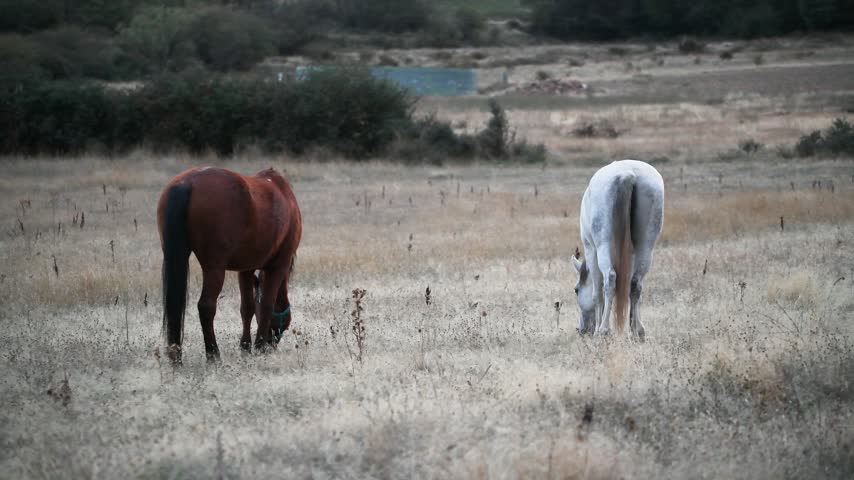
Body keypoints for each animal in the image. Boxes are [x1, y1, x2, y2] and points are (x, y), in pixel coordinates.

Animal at [157, 166, 302, 364]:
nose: (272, 344)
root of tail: (186, 182)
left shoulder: (246, 269)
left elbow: (247, 307)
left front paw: (246, 347)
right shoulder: (279, 265)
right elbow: (266, 304)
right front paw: (259, 347)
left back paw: (177, 359)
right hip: (215, 268)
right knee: (206, 306)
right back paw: (213, 355)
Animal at [572, 160, 664, 339]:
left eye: (576, 290)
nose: (582, 330)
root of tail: (628, 174)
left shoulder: (591, 250)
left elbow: (597, 293)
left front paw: (598, 328)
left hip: (602, 246)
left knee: (610, 278)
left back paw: (603, 329)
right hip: (646, 245)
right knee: (635, 284)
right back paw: (637, 332)